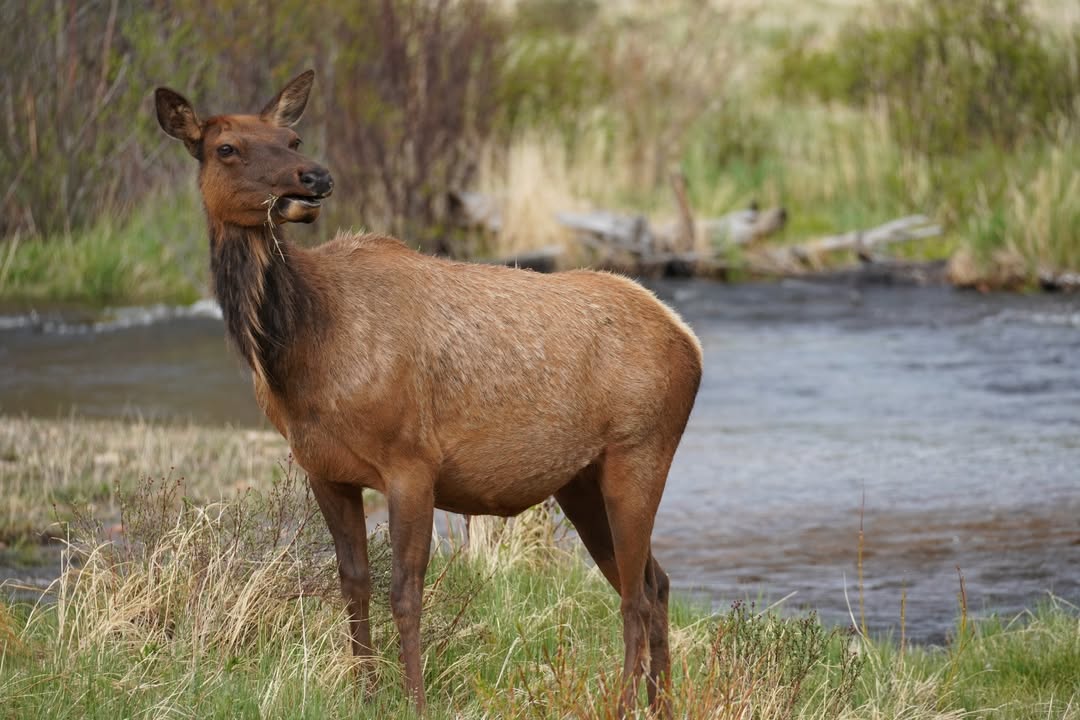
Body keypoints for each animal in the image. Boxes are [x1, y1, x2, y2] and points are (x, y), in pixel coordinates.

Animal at [155, 69, 702, 717]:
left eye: (291, 138)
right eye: (226, 148)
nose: (314, 178)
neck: (304, 355)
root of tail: (688, 339)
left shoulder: (411, 460)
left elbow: (405, 592)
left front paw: (413, 698)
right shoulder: (324, 470)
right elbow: (354, 583)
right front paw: (364, 692)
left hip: (640, 454)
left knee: (634, 596)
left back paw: (623, 704)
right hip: (581, 480)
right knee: (654, 581)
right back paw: (661, 704)